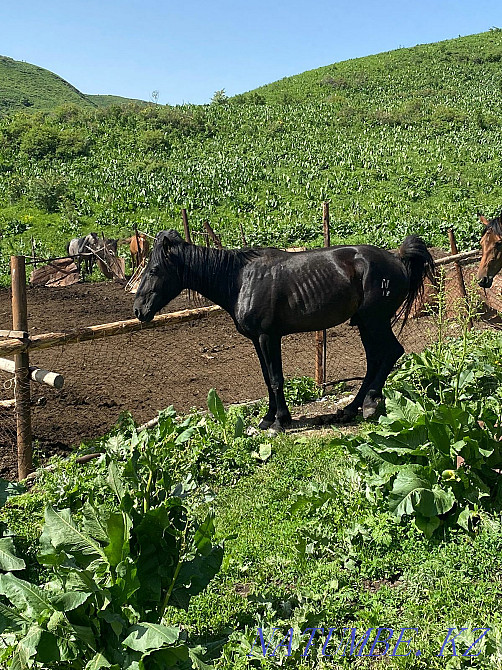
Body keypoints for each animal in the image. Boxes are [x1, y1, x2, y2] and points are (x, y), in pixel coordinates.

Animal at [133, 230, 434, 432]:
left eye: (155, 269)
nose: (138, 310)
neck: (240, 280)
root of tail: (397, 259)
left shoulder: (269, 337)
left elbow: (277, 379)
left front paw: (280, 422)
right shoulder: (258, 340)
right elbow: (268, 379)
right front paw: (270, 418)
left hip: (375, 321)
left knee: (392, 352)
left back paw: (370, 404)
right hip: (365, 324)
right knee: (374, 361)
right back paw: (350, 409)